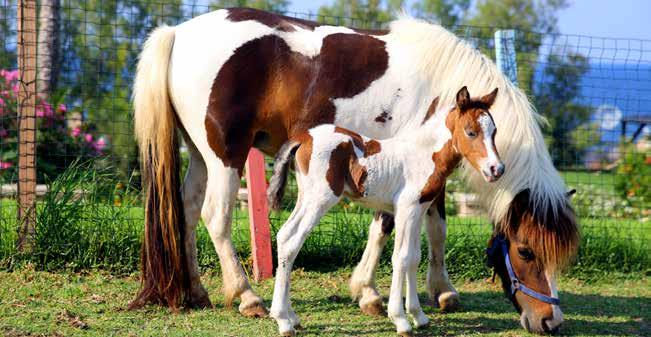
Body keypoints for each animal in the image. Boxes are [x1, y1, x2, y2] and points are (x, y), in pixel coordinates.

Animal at [268, 87, 502, 336]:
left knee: (283, 235)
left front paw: (419, 316)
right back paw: (283, 320)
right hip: (320, 200)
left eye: (494, 131)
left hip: (306, 198)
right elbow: (401, 257)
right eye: (471, 132)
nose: (496, 169)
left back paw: (291, 317)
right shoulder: (406, 209)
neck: (424, 155)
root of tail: (304, 137)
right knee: (292, 242)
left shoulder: (418, 210)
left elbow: (414, 257)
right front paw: (400, 319)